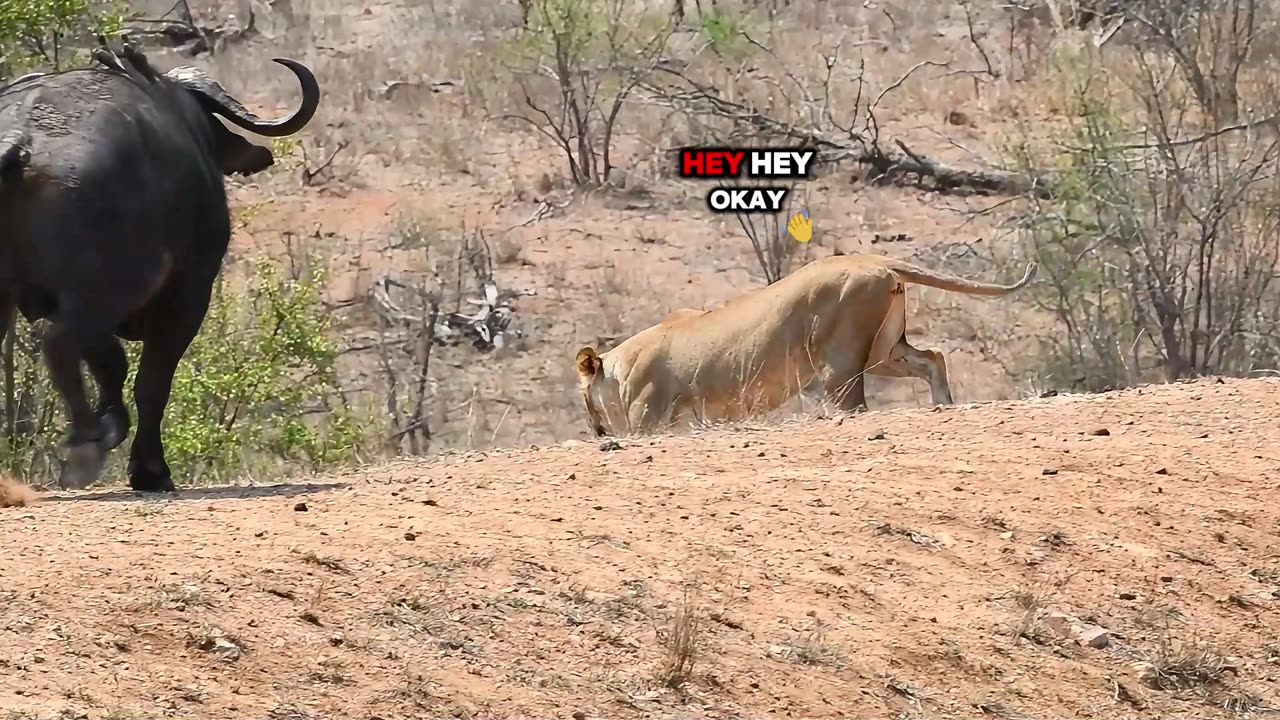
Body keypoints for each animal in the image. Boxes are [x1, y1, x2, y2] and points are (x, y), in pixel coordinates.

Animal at [0, 37, 320, 486]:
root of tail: (19, 140)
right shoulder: (187, 296)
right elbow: (151, 382)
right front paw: (149, 468)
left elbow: (110, 362)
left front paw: (114, 422)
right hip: (108, 287)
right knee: (59, 342)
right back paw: (84, 443)